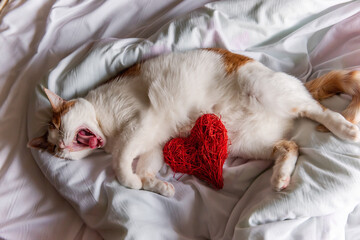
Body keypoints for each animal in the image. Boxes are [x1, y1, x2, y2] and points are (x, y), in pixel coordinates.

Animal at [28, 48, 360, 197]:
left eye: (59, 125)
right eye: (56, 151)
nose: (63, 145)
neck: (106, 128)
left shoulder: (142, 122)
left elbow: (121, 161)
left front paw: (129, 180)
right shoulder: (153, 142)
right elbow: (146, 167)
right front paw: (157, 186)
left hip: (266, 90)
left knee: (318, 110)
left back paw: (344, 128)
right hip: (245, 142)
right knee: (289, 146)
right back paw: (280, 177)